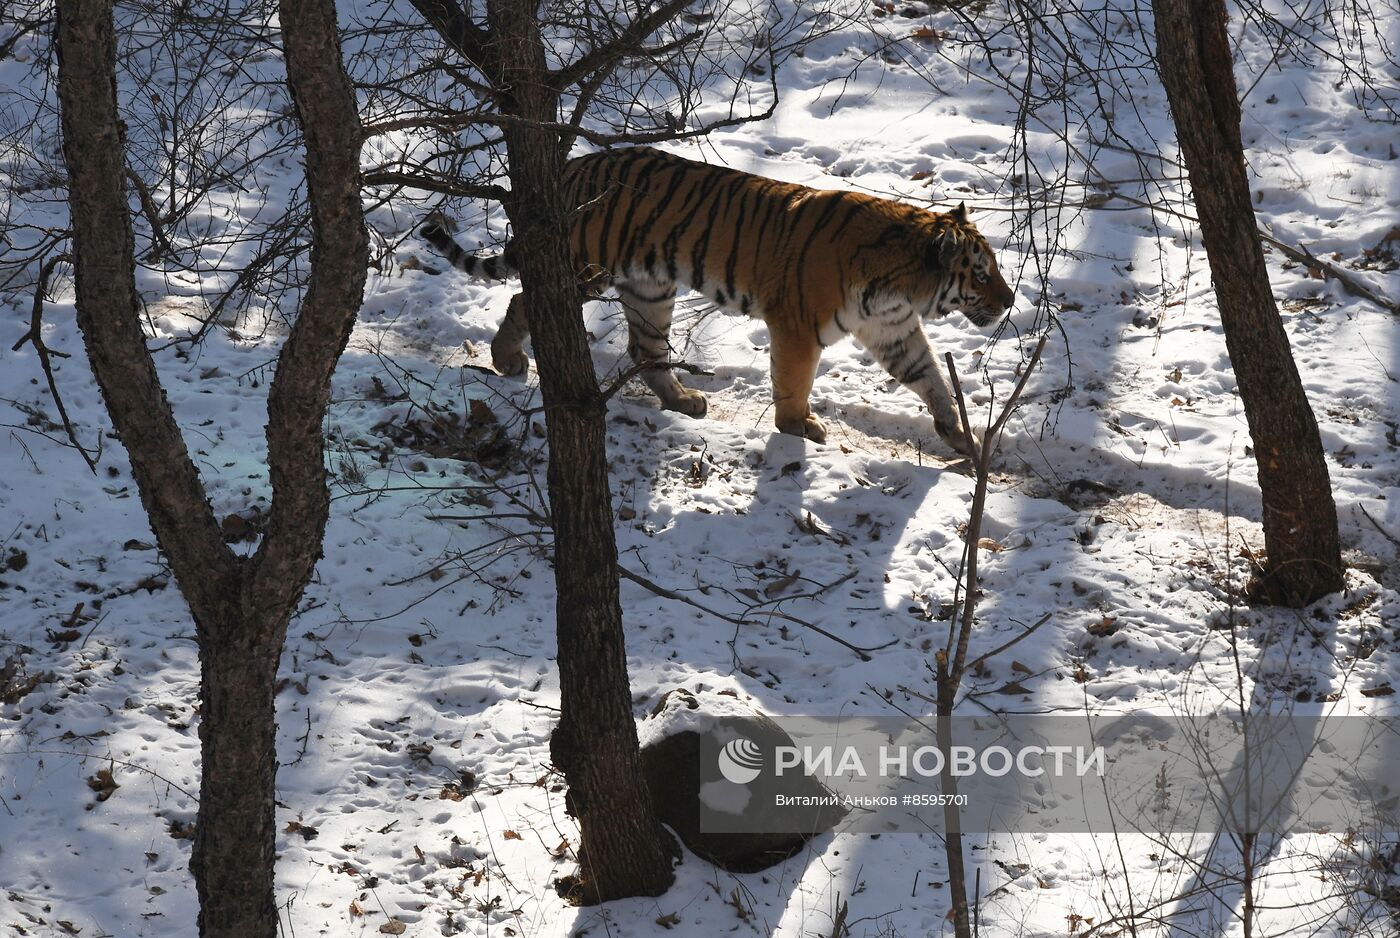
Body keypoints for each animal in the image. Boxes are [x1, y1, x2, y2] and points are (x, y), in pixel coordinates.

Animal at [417, 144, 1019, 456]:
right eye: (981, 273)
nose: (1011, 299)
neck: (904, 286)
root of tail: (571, 166)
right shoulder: (797, 324)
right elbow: (794, 381)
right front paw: (798, 427)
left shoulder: (893, 329)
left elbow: (930, 377)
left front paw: (958, 434)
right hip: (586, 269)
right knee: (525, 299)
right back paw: (507, 360)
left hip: (651, 288)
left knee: (645, 350)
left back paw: (684, 401)